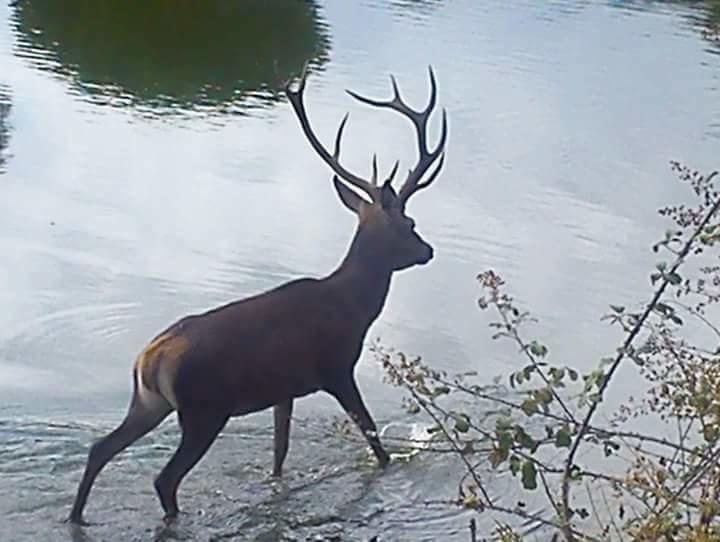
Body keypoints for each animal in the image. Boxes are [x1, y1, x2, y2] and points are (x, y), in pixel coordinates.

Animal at [70, 65, 448, 528]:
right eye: (410, 223)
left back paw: (76, 516)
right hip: (203, 411)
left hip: (148, 403)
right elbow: (373, 440)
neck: (355, 306)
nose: (427, 250)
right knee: (164, 478)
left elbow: (279, 452)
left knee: (100, 449)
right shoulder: (336, 368)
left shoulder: (284, 388)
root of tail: (148, 361)